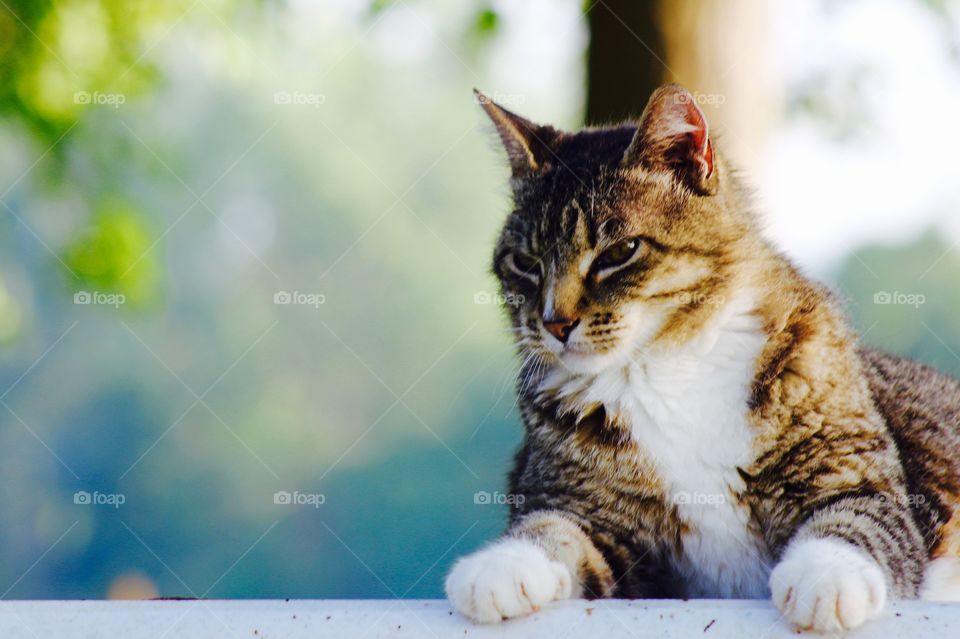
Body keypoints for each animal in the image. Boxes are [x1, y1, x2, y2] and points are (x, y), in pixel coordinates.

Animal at [446, 86, 960, 636]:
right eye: (525, 263)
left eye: (619, 252)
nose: (554, 323)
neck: (664, 367)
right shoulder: (600, 526)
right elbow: (552, 528)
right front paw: (499, 567)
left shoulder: (859, 475)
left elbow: (856, 520)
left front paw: (827, 580)